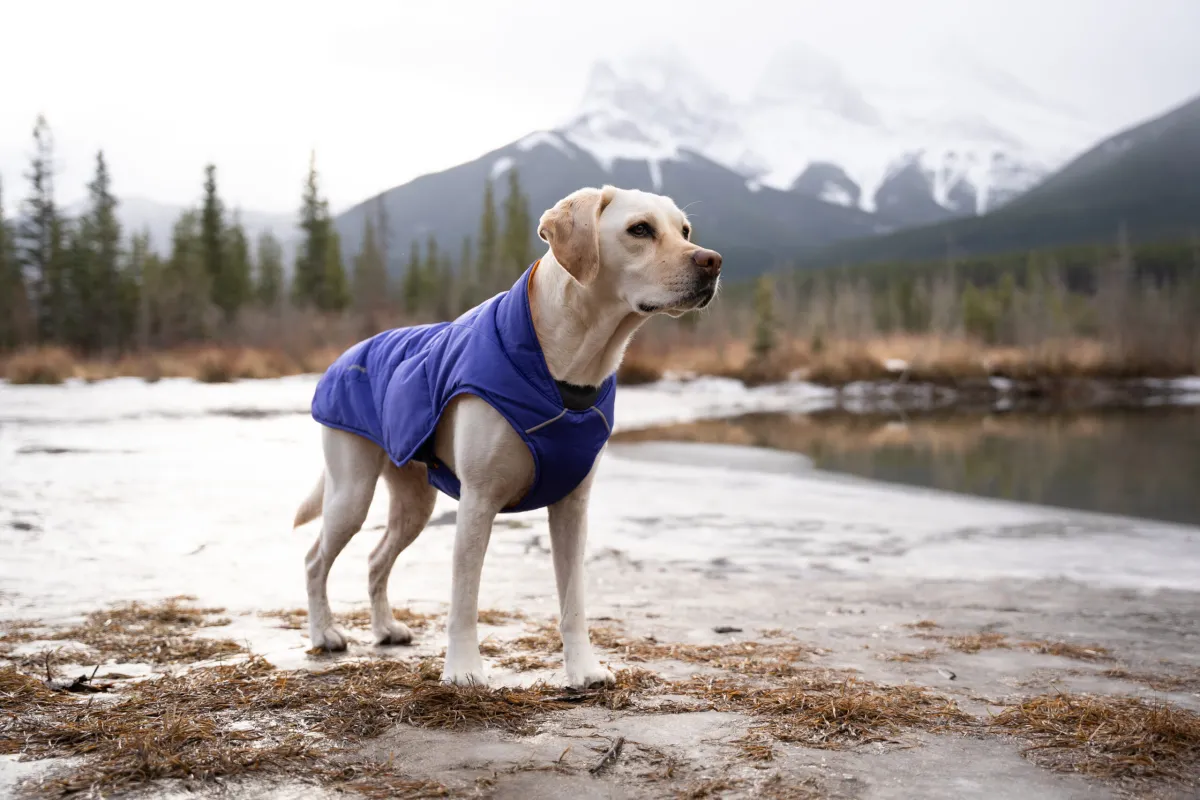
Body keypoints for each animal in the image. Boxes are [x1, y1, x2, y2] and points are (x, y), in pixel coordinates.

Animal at [292, 185, 720, 690]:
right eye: (640, 229)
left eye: (685, 230)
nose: (712, 261)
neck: (568, 370)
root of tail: (347, 354)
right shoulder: (478, 500)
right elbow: (464, 598)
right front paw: (463, 670)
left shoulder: (572, 507)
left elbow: (574, 601)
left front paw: (583, 669)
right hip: (351, 493)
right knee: (315, 559)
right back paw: (324, 633)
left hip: (414, 503)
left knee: (377, 560)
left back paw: (385, 628)